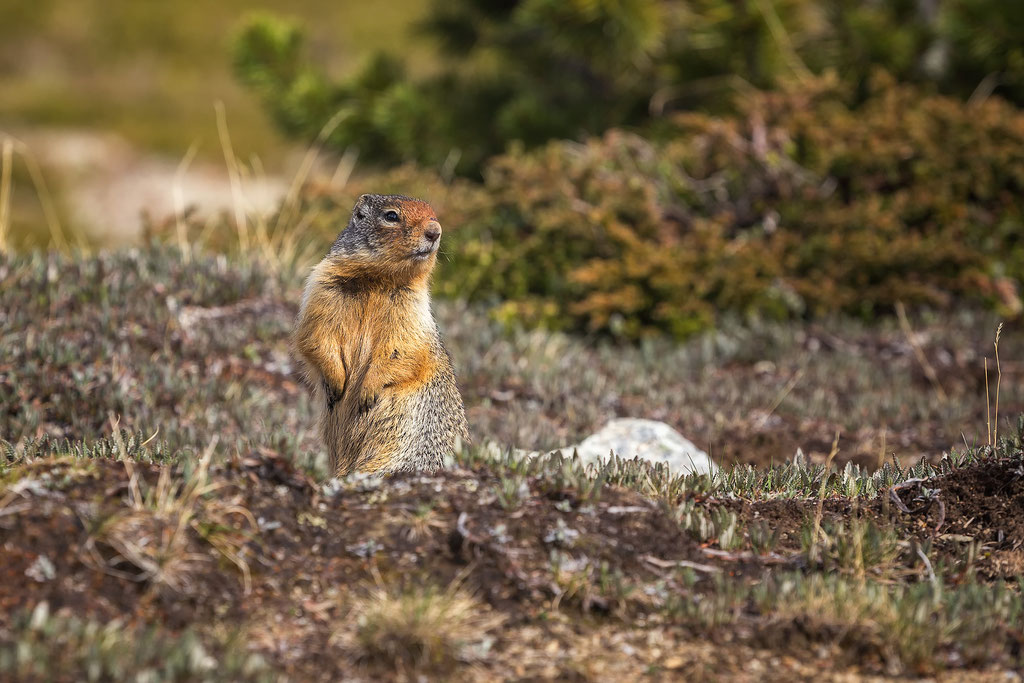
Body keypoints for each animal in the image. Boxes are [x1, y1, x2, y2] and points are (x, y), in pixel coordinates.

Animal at [293, 193, 469, 477]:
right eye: (391, 216)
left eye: (433, 214)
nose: (435, 231)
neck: (378, 281)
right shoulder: (323, 287)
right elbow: (317, 333)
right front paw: (337, 382)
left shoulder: (411, 311)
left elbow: (401, 347)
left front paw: (367, 391)